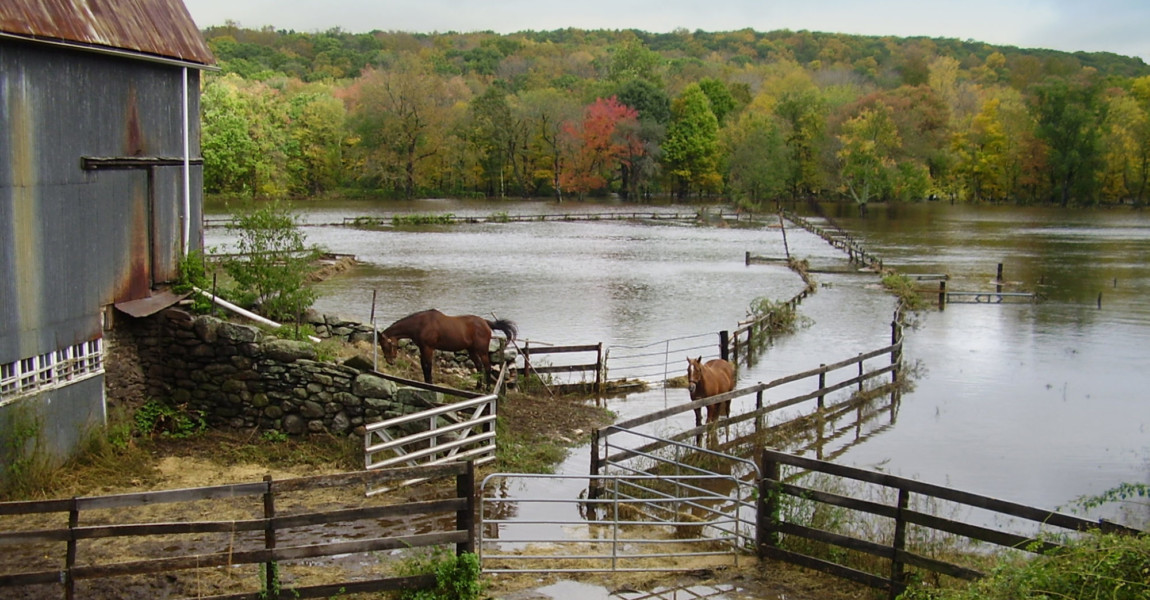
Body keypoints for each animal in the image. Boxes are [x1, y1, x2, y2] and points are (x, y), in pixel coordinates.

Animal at [379, 308, 519, 383]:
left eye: (386, 346)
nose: (390, 361)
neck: (421, 324)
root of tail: (485, 322)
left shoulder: (428, 348)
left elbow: (427, 366)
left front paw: (430, 383)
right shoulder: (423, 348)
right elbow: (424, 366)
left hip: (482, 351)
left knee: (487, 368)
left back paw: (487, 388)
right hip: (472, 350)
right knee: (479, 367)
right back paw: (478, 387)